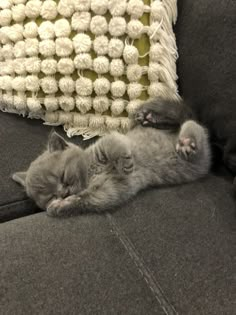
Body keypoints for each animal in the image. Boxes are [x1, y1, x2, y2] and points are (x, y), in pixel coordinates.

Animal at [12, 100, 212, 217]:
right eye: (49, 195)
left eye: (63, 176)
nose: (62, 193)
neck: (90, 174)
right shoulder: (109, 190)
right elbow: (92, 199)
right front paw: (61, 205)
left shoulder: (112, 141)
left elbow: (113, 145)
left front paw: (126, 164)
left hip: (197, 153)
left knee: (191, 125)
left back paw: (179, 137)